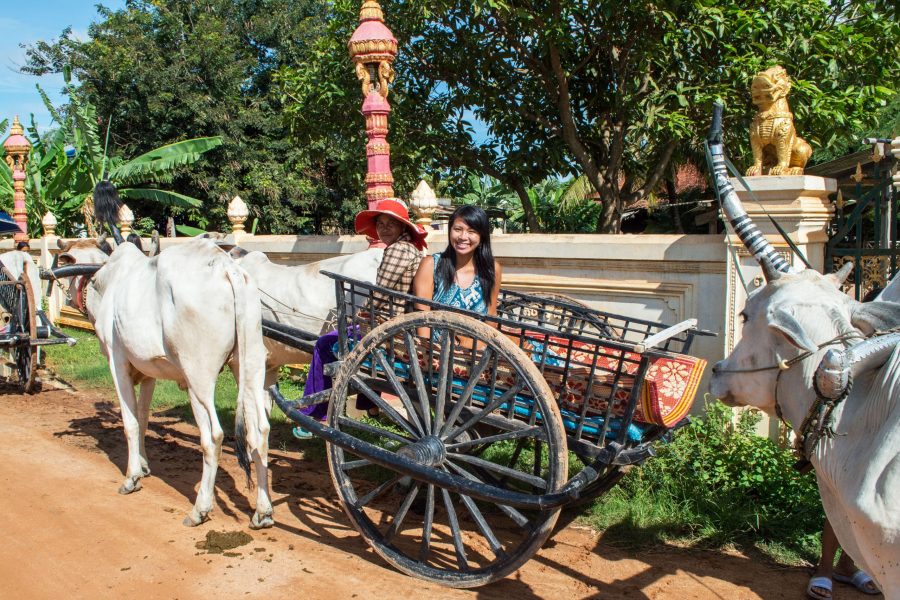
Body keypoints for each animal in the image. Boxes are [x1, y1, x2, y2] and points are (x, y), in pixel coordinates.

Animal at [55, 237, 272, 528]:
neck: (106, 279)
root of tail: (227, 268)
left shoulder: (117, 360)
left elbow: (131, 423)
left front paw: (132, 477)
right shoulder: (149, 372)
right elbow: (143, 418)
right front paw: (144, 465)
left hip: (198, 377)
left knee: (213, 436)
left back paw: (199, 509)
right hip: (250, 367)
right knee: (259, 432)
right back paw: (263, 512)